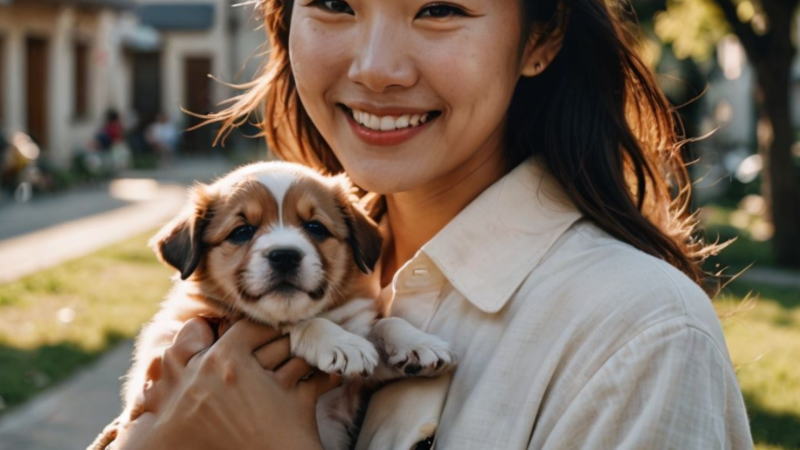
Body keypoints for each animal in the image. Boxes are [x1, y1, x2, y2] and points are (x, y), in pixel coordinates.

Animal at [88, 162, 456, 450]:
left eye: (315, 227)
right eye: (242, 231)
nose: (285, 255)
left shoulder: (348, 389)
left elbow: (381, 325)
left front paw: (417, 344)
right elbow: (297, 324)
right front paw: (340, 342)